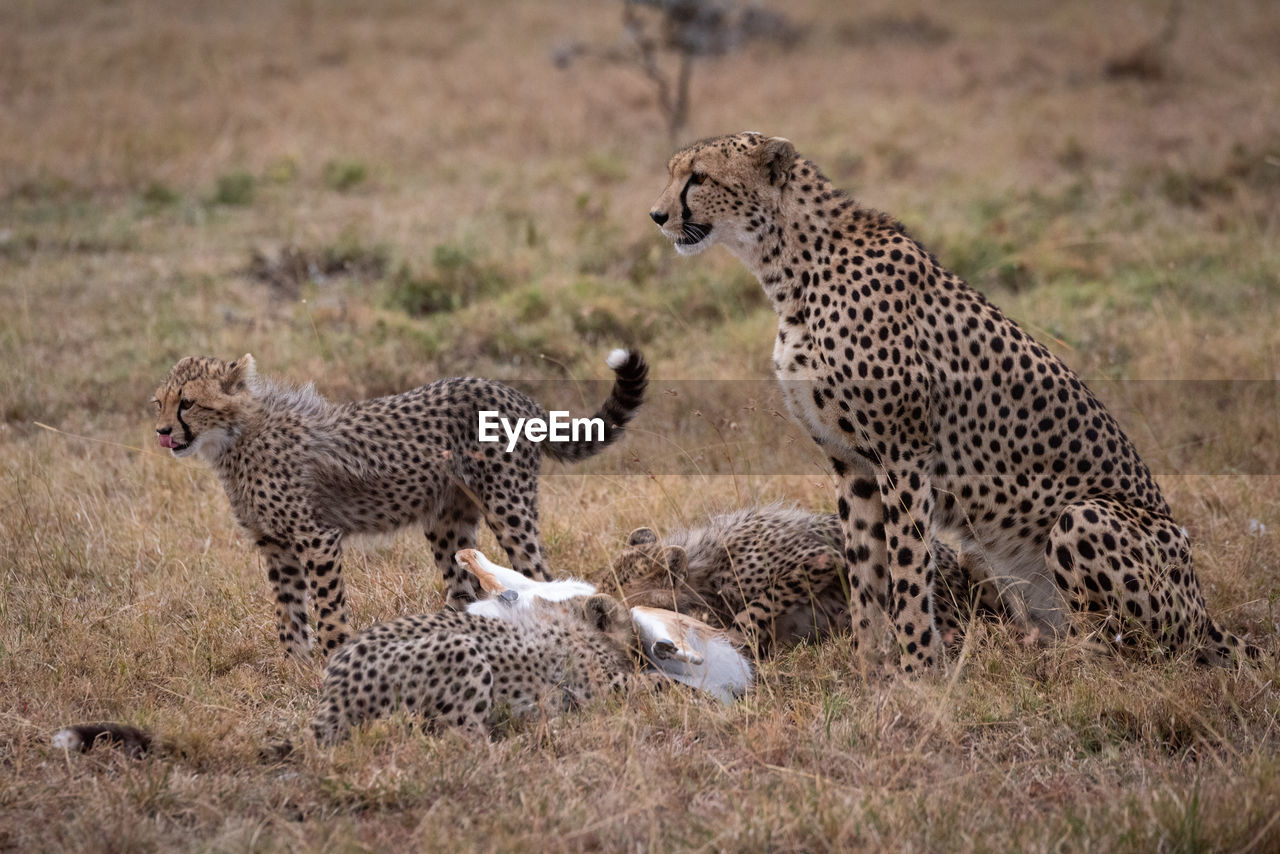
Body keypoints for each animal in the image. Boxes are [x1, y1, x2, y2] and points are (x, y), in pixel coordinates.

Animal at [153, 348, 645, 660]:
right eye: (159, 403)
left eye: (188, 403)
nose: (162, 432)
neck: (236, 437)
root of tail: (511, 392)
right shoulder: (276, 545)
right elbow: (288, 611)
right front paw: (294, 665)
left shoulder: (316, 537)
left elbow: (327, 606)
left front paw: (332, 657)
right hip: (446, 523)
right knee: (464, 587)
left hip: (508, 506)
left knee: (539, 576)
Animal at [650, 130, 1259, 670]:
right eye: (673, 172)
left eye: (698, 177)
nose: (657, 215)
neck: (790, 265)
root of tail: (1205, 612)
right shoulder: (853, 464)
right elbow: (864, 571)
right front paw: (870, 668)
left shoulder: (903, 456)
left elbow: (906, 569)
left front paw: (920, 668)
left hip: (1084, 519)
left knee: (1131, 649)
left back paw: (1065, 663)